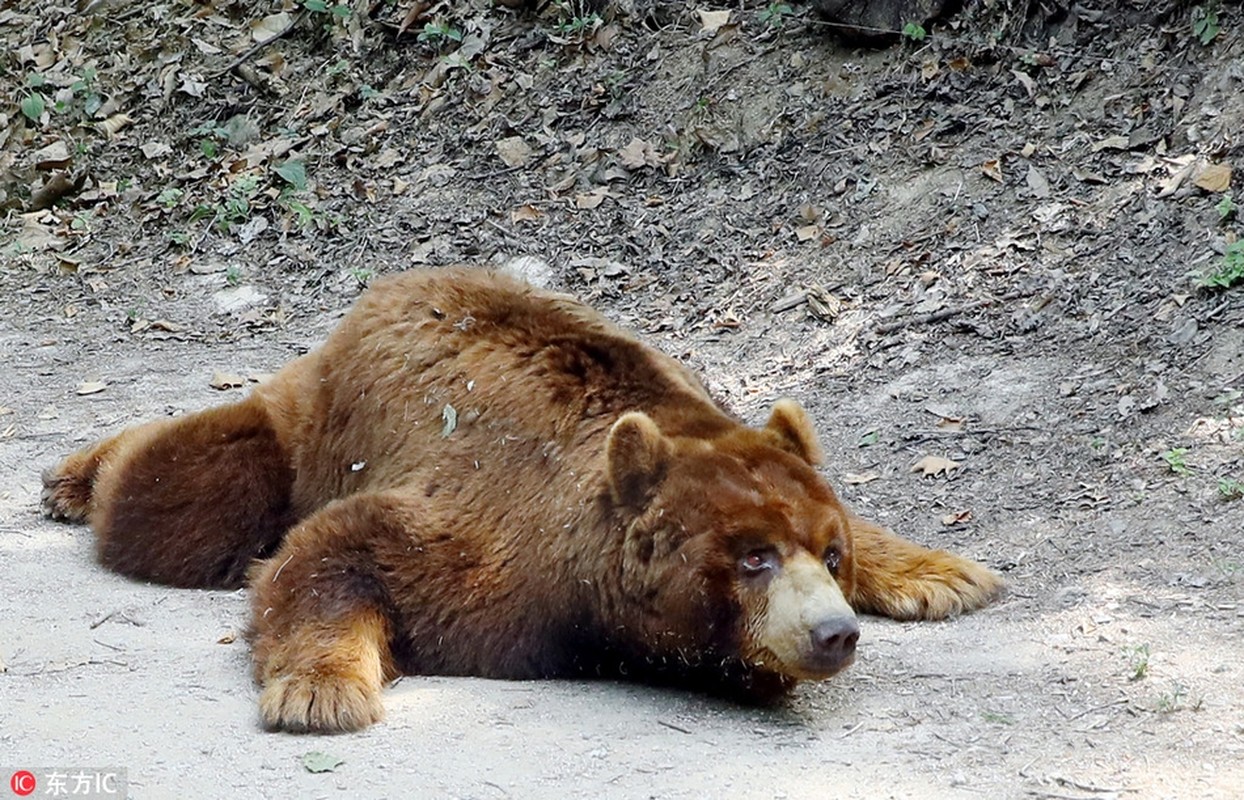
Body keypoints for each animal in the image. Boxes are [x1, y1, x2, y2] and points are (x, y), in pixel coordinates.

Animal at [43, 267, 1005, 731]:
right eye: (752, 556)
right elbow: (336, 551)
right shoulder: (498, 541)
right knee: (174, 499)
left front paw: (944, 571)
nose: (834, 631)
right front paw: (322, 695)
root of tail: (381, 291)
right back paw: (75, 476)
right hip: (311, 434)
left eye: (828, 552)